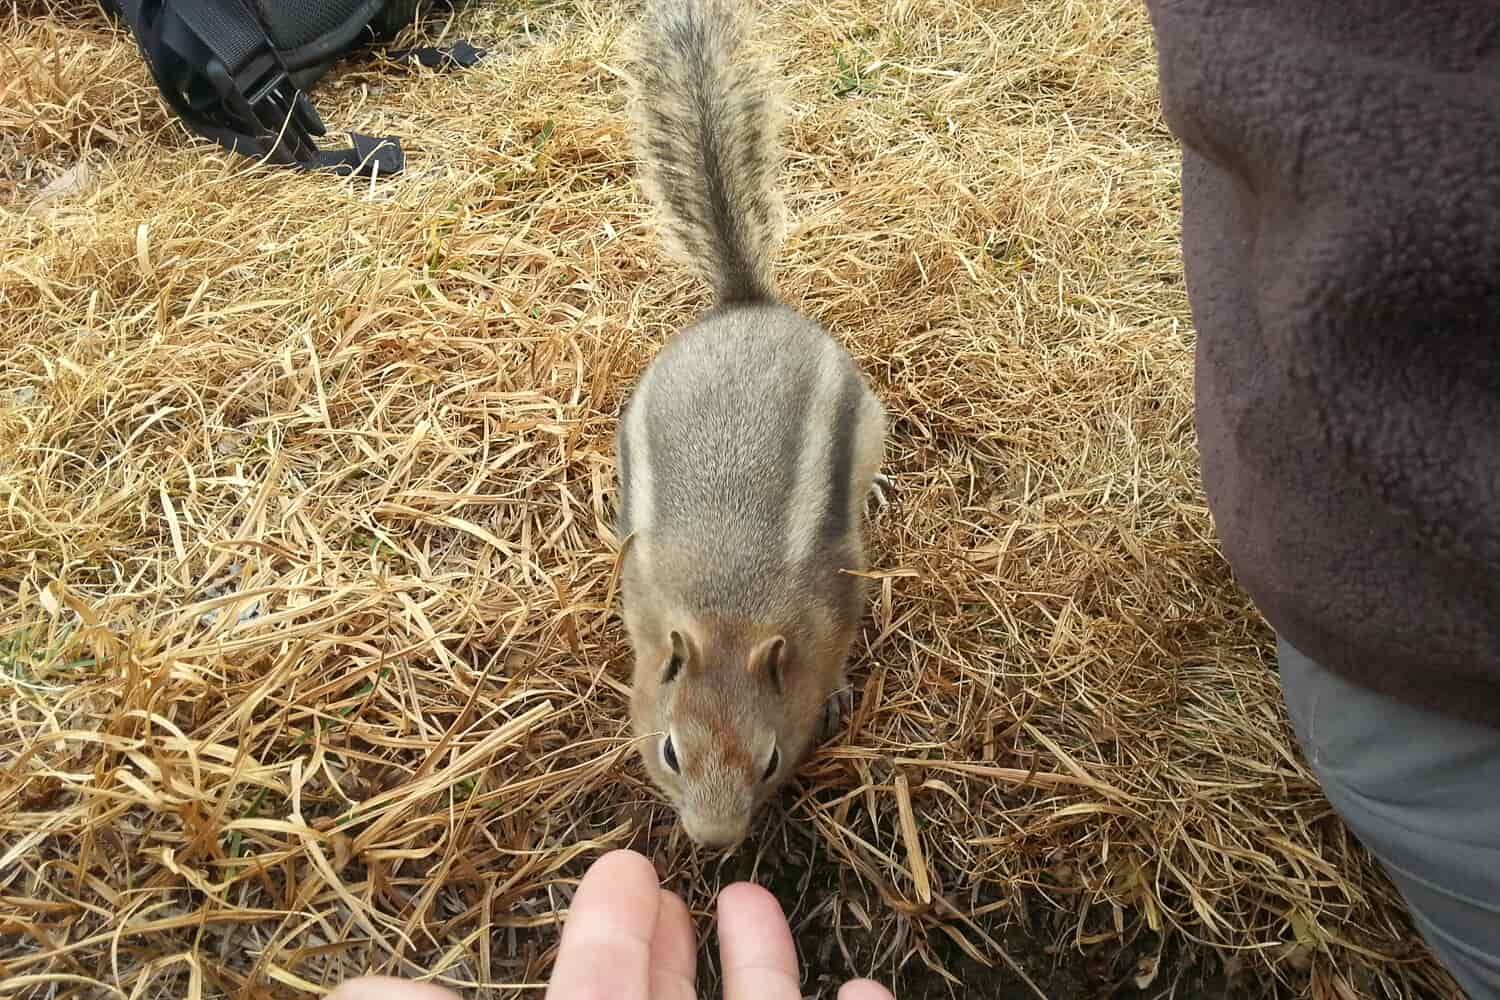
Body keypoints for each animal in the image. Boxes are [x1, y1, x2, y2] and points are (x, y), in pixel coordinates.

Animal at [615, 0, 890, 850]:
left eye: (770, 761)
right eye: (672, 751)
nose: (714, 841)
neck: (729, 609)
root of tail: (743, 300)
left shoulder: (836, 604)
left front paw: (835, 697)